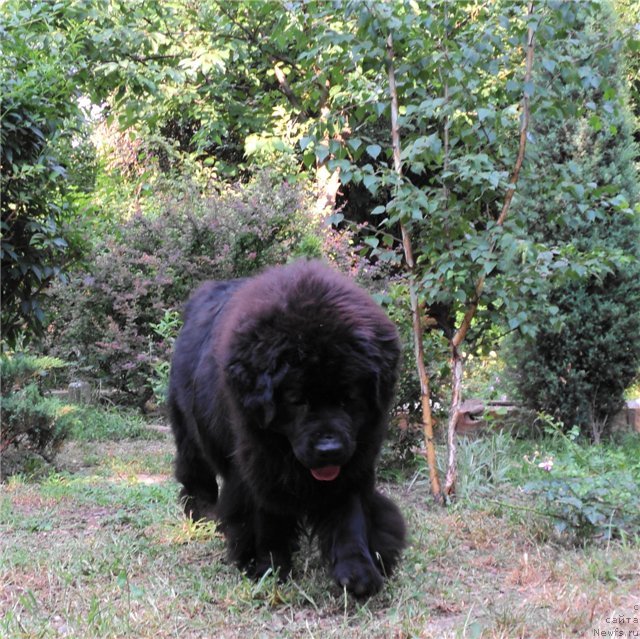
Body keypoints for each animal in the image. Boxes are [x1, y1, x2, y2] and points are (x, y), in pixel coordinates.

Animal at [169, 262, 404, 600]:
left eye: (349, 398)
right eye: (297, 400)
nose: (329, 450)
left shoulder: (356, 462)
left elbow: (351, 515)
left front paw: (358, 572)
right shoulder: (257, 464)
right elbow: (265, 516)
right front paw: (268, 566)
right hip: (189, 431)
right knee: (195, 474)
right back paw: (204, 514)